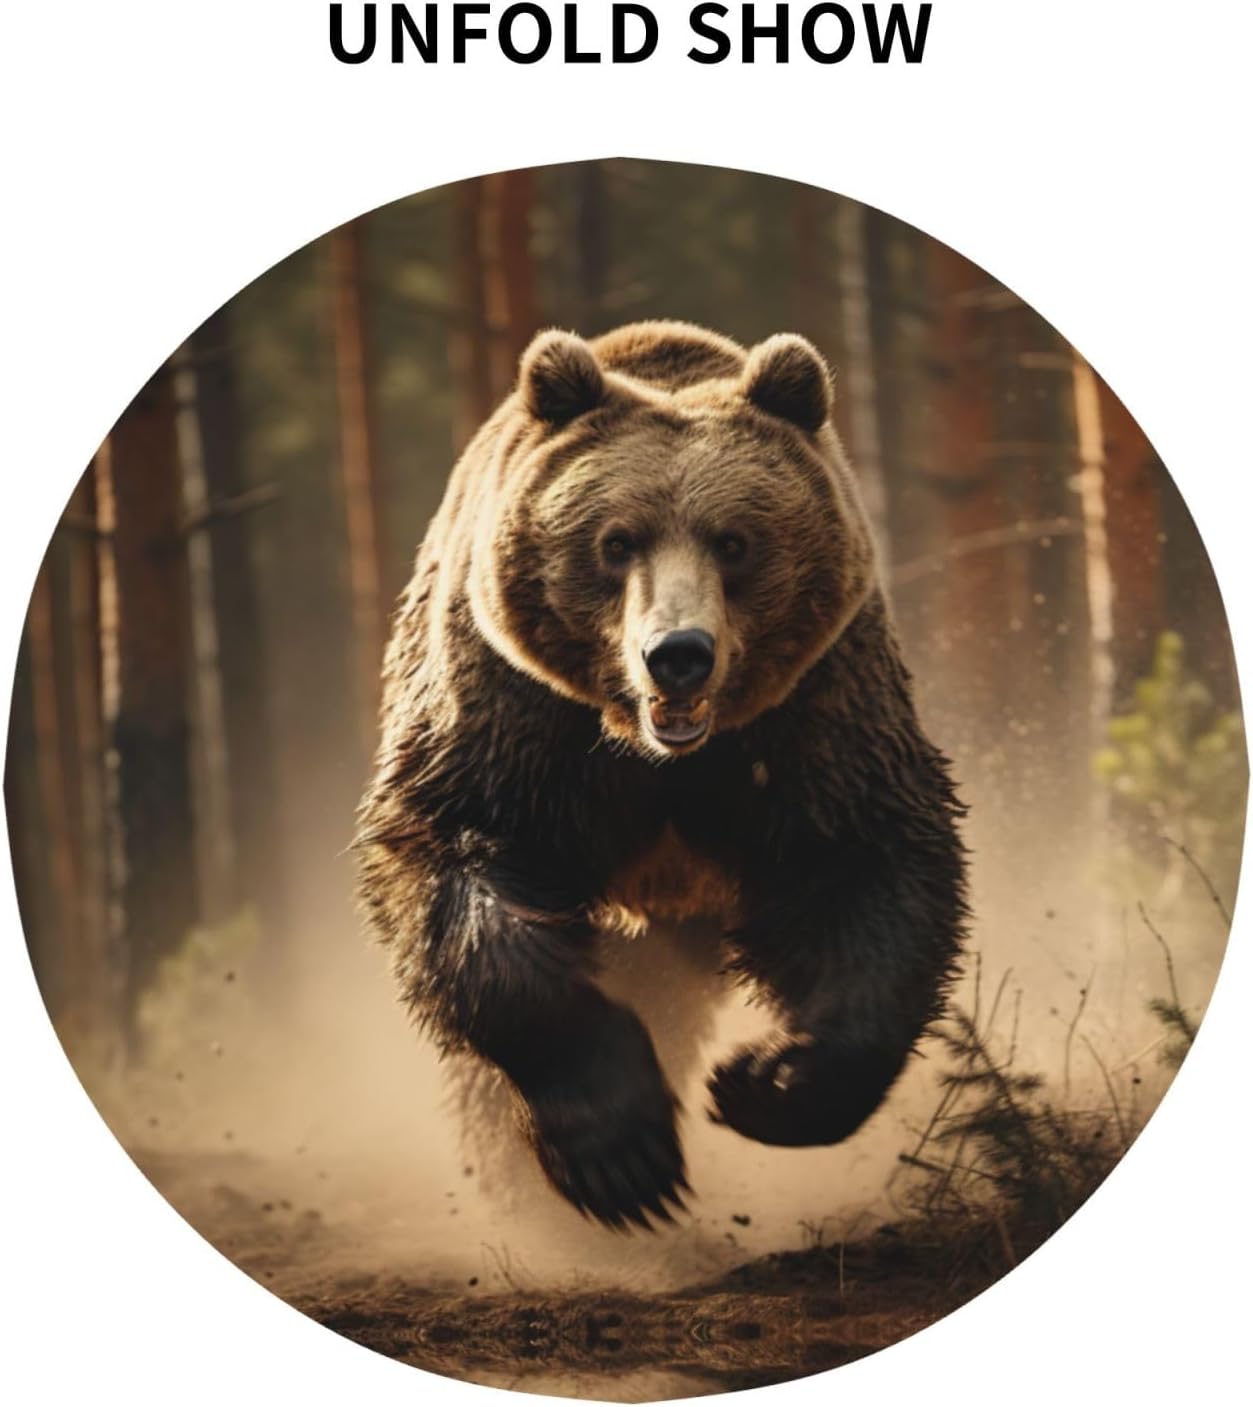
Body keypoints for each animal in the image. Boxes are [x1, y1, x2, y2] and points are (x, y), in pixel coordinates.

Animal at [355, 320, 967, 1231]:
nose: (677, 653)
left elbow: (860, 862)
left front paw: (770, 1080)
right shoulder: (512, 712)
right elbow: (464, 873)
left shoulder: (808, 714)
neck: (655, 753)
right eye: (615, 542)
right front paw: (619, 1155)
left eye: (735, 541)